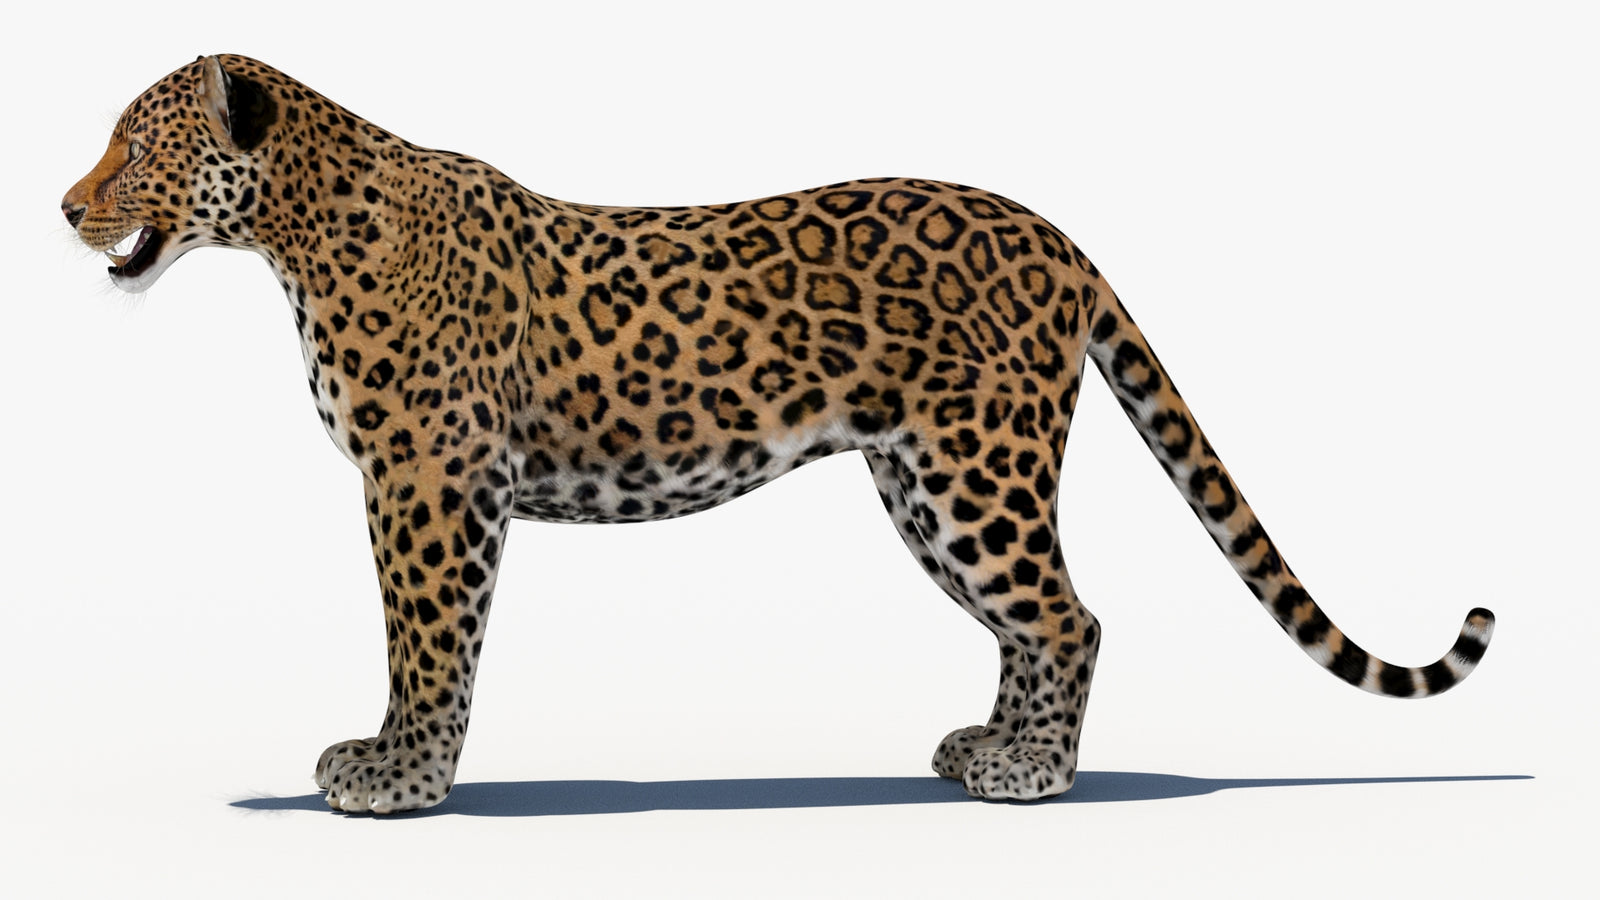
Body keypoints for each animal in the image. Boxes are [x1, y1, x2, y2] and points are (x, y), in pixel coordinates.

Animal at [63, 55, 1495, 814]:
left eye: (133, 145)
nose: (66, 206)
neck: (295, 229)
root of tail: (1056, 235)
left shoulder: (428, 481)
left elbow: (427, 640)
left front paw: (400, 775)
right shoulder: (428, 483)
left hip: (975, 473)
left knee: (1071, 615)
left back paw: (1035, 772)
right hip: (920, 481)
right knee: (1036, 621)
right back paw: (986, 748)